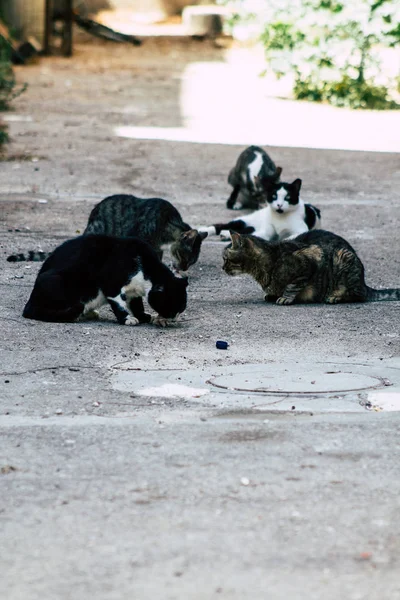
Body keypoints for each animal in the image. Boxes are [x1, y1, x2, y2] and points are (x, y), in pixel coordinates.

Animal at [222, 230, 400, 304]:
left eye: (225, 258)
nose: (222, 268)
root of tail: (364, 284)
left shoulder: (309, 261)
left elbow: (292, 286)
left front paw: (285, 298)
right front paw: (272, 294)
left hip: (343, 257)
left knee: (358, 295)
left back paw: (336, 297)